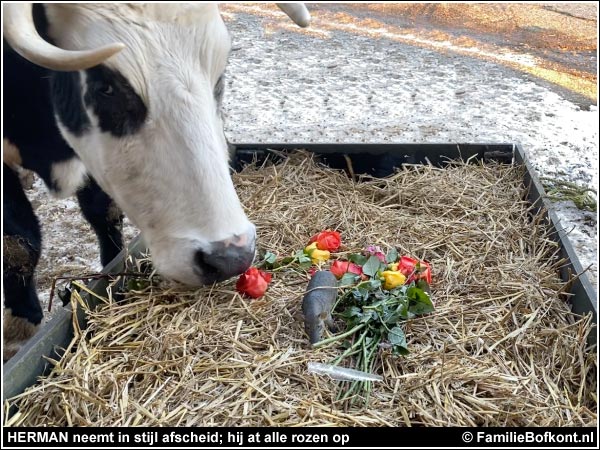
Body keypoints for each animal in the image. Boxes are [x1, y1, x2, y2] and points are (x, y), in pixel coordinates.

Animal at [3, 1, 314, 360]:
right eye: (105, 88)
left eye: (219, 74)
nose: (230, 259)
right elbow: (18, 242)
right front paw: (19, 330)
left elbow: (103, 212)